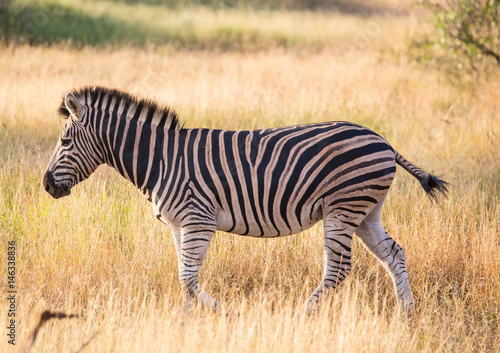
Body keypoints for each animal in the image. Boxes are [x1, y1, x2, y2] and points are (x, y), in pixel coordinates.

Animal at [44, 86, 450, 314]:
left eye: (65, 141)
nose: (46, 185)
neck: (162, 159)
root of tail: (384, 141)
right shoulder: (178, 226)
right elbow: (184, 280)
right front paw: (185, 323)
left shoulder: (197, 220)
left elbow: (188, 278)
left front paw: (224, 312)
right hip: (365, 212)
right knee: (395, 254)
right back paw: (407, 315)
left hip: (342, 208)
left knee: (338, 269)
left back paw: (303, 315)